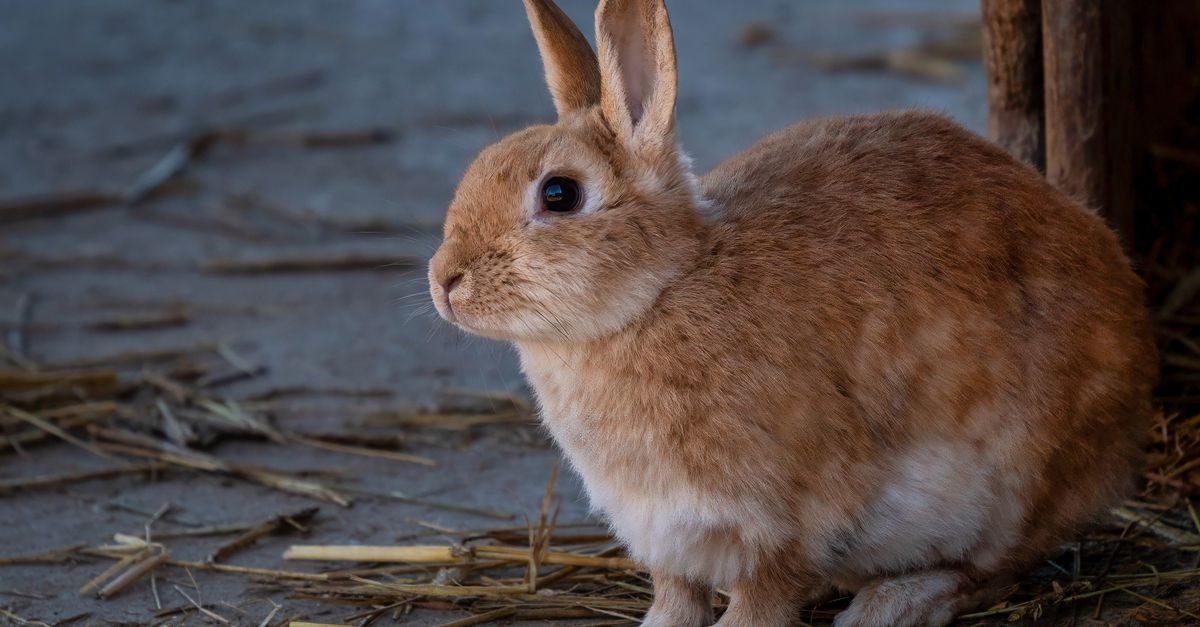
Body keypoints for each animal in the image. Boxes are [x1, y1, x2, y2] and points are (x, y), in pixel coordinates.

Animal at [426, 0, 1158, 625]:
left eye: (559, 194)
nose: (444, 281)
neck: (659, 293)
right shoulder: (664, 532)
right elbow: (677, 594)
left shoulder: (787, 519)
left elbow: (763, 596)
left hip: (1011, 486)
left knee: (993, 569)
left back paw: (891, 604)